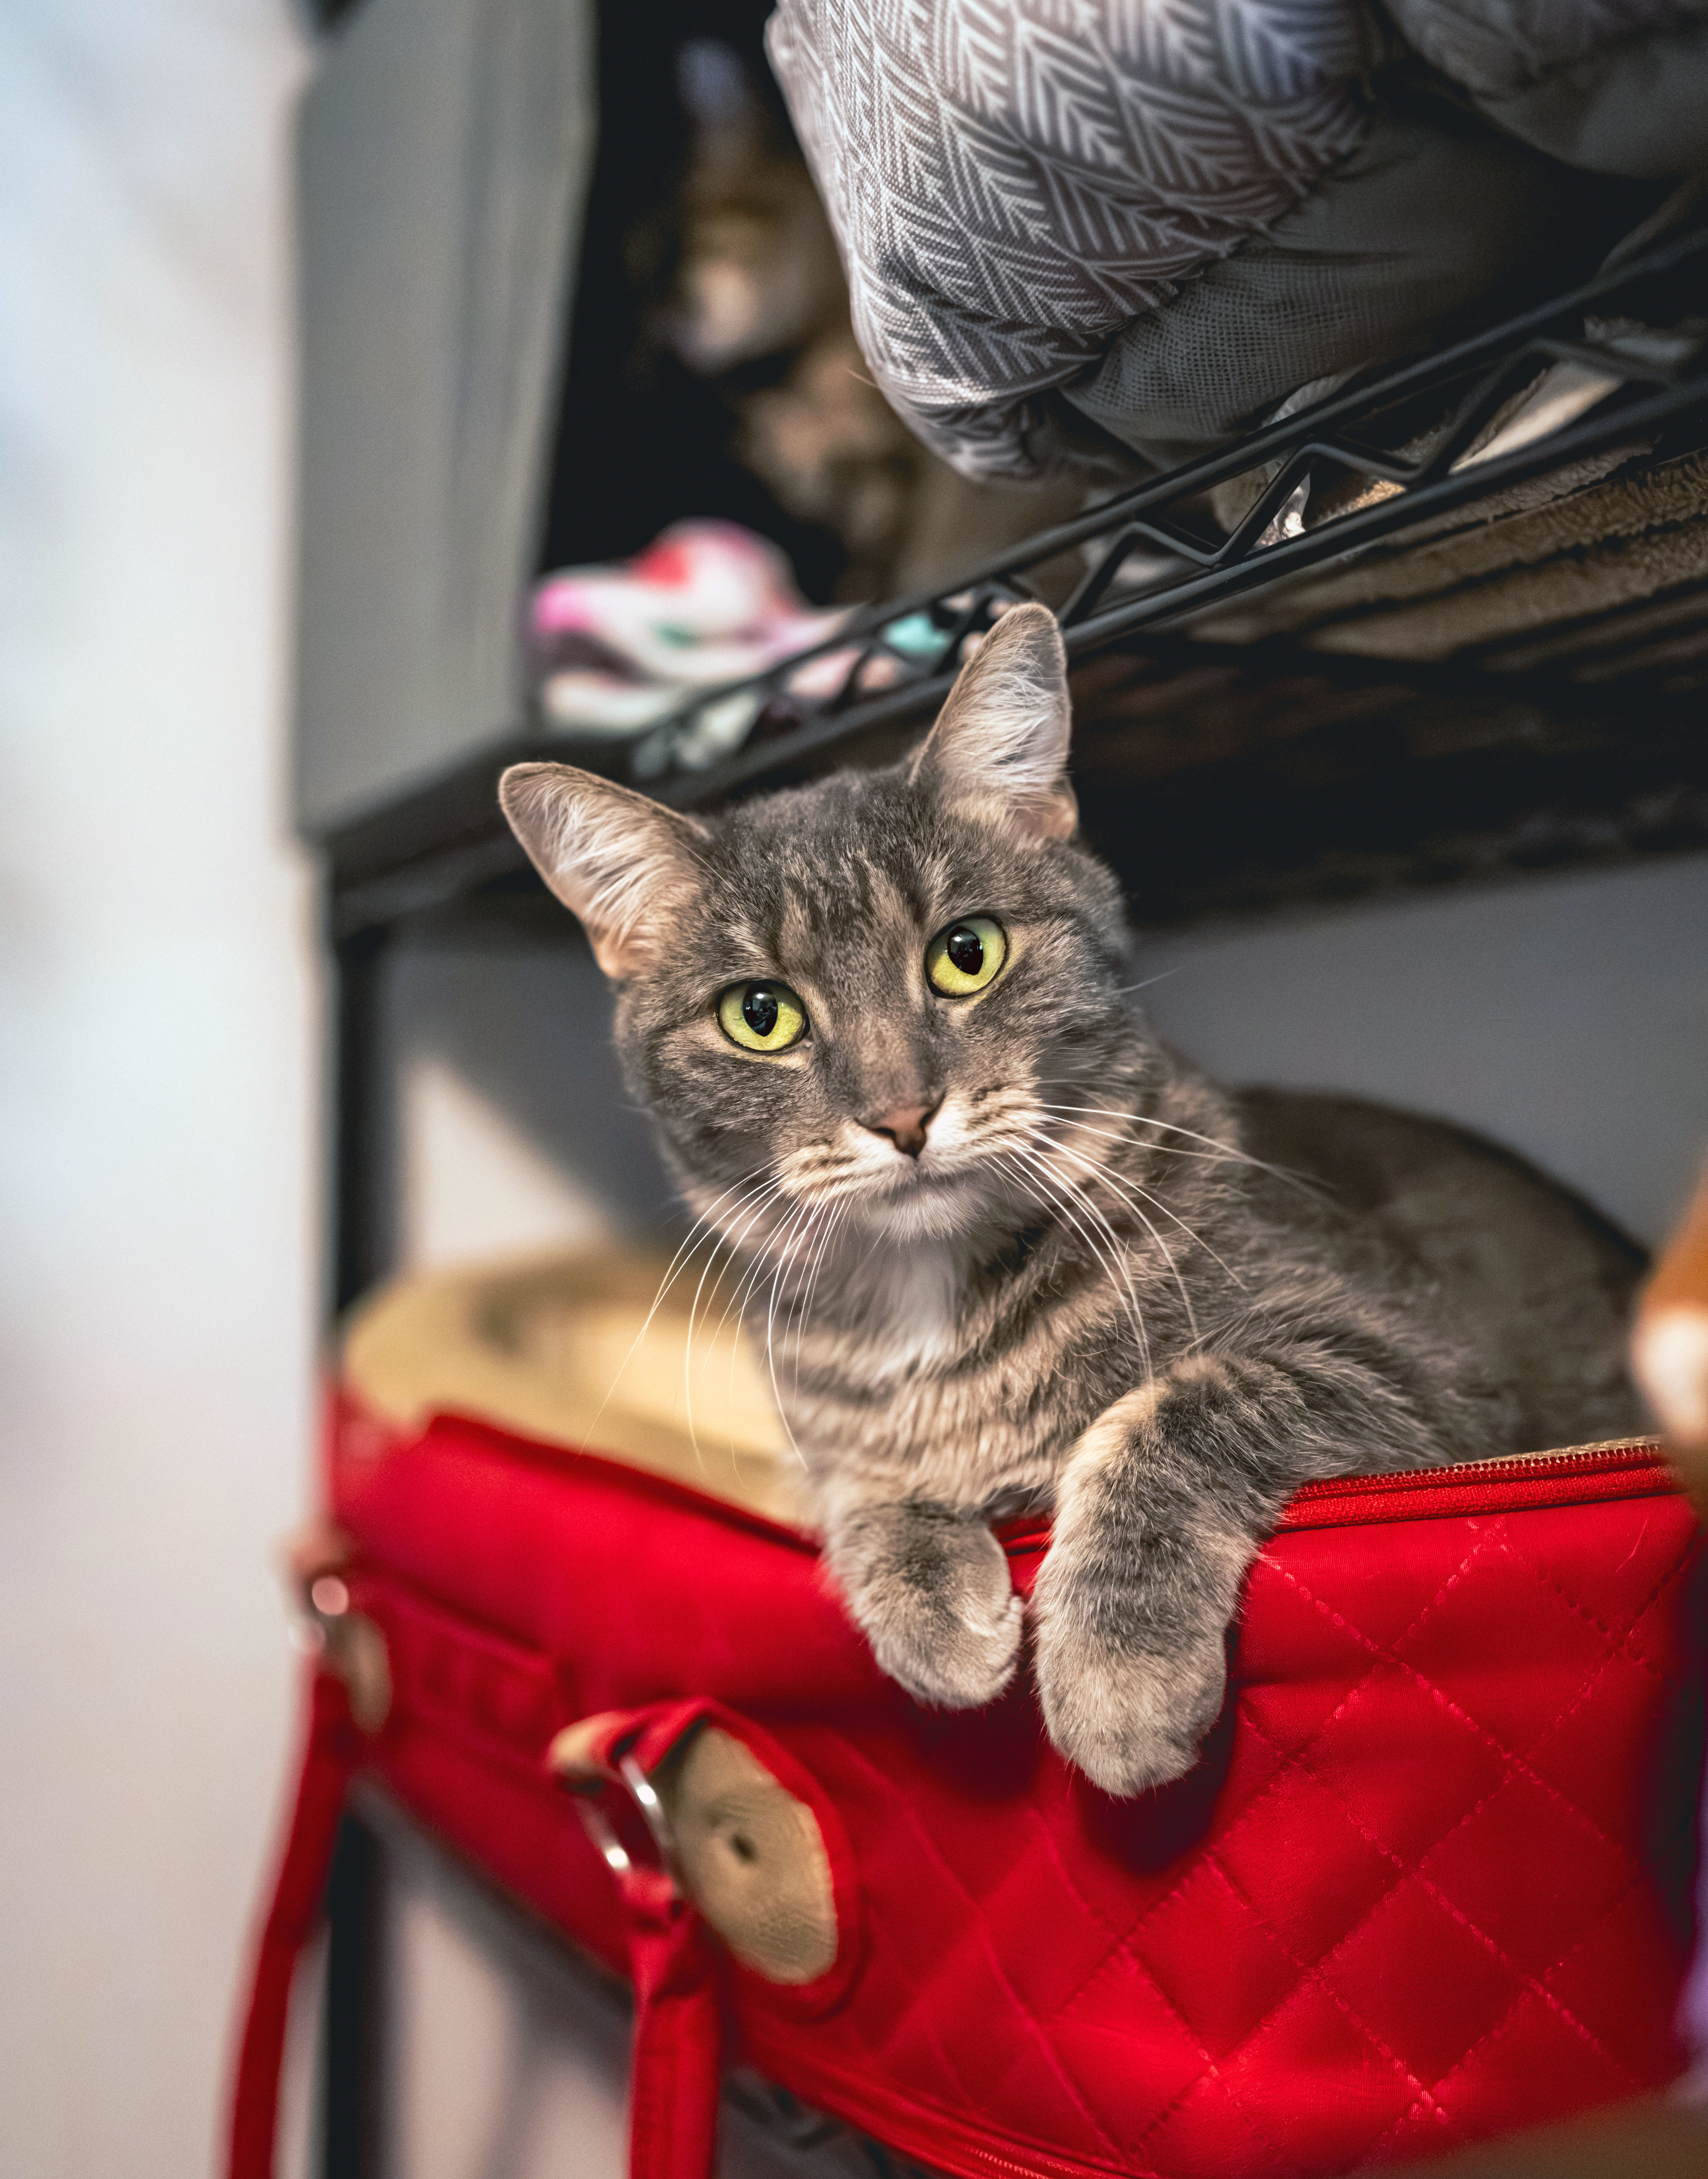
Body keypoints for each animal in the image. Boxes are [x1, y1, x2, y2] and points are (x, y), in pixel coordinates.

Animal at [503, 606, 1638, 1795]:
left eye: (967, 954)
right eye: (758, 1015)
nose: (903, 1114)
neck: (925, 1301)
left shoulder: (1419, 1367)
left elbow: (1183, 1406)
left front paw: (1117, 1672)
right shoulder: (814, 1444)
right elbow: (853, 1484)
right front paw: (931, 1603)